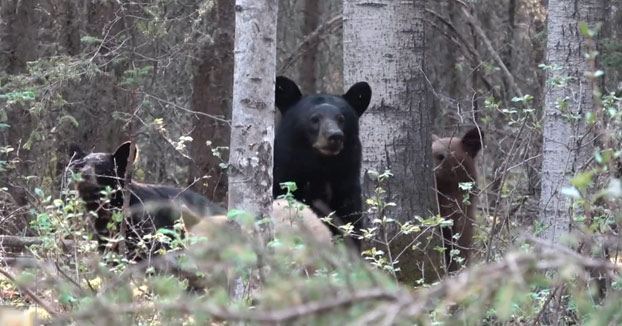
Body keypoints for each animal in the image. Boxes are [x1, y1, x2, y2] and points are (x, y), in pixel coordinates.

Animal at [276, 76, 372, 250]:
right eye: (314, 118)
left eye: (341, 119)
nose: (335, 136)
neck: (321, 170)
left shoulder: (346, 193)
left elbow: (350, 228)